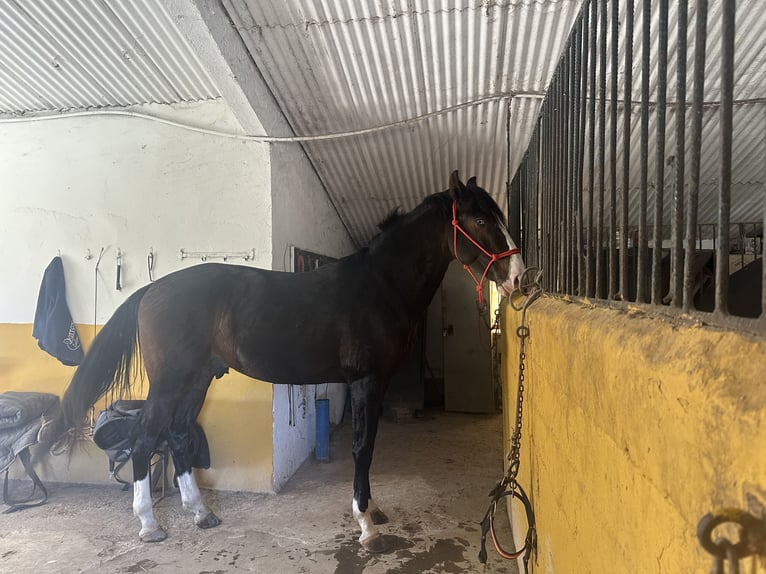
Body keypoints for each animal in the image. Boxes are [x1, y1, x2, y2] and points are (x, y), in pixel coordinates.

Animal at [41, 170, 526, 553]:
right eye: (481, 219)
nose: (518, 277)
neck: (380, 285)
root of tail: (152, 290)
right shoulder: (365, 381)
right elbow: (361, 447)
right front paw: (366, 526)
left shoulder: (377, 384)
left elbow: (369, 445)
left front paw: (373, 509)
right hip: (169, 381)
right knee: (146, 438)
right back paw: (149, 525)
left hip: (197, 379)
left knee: (177, 435)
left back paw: (201, 514)